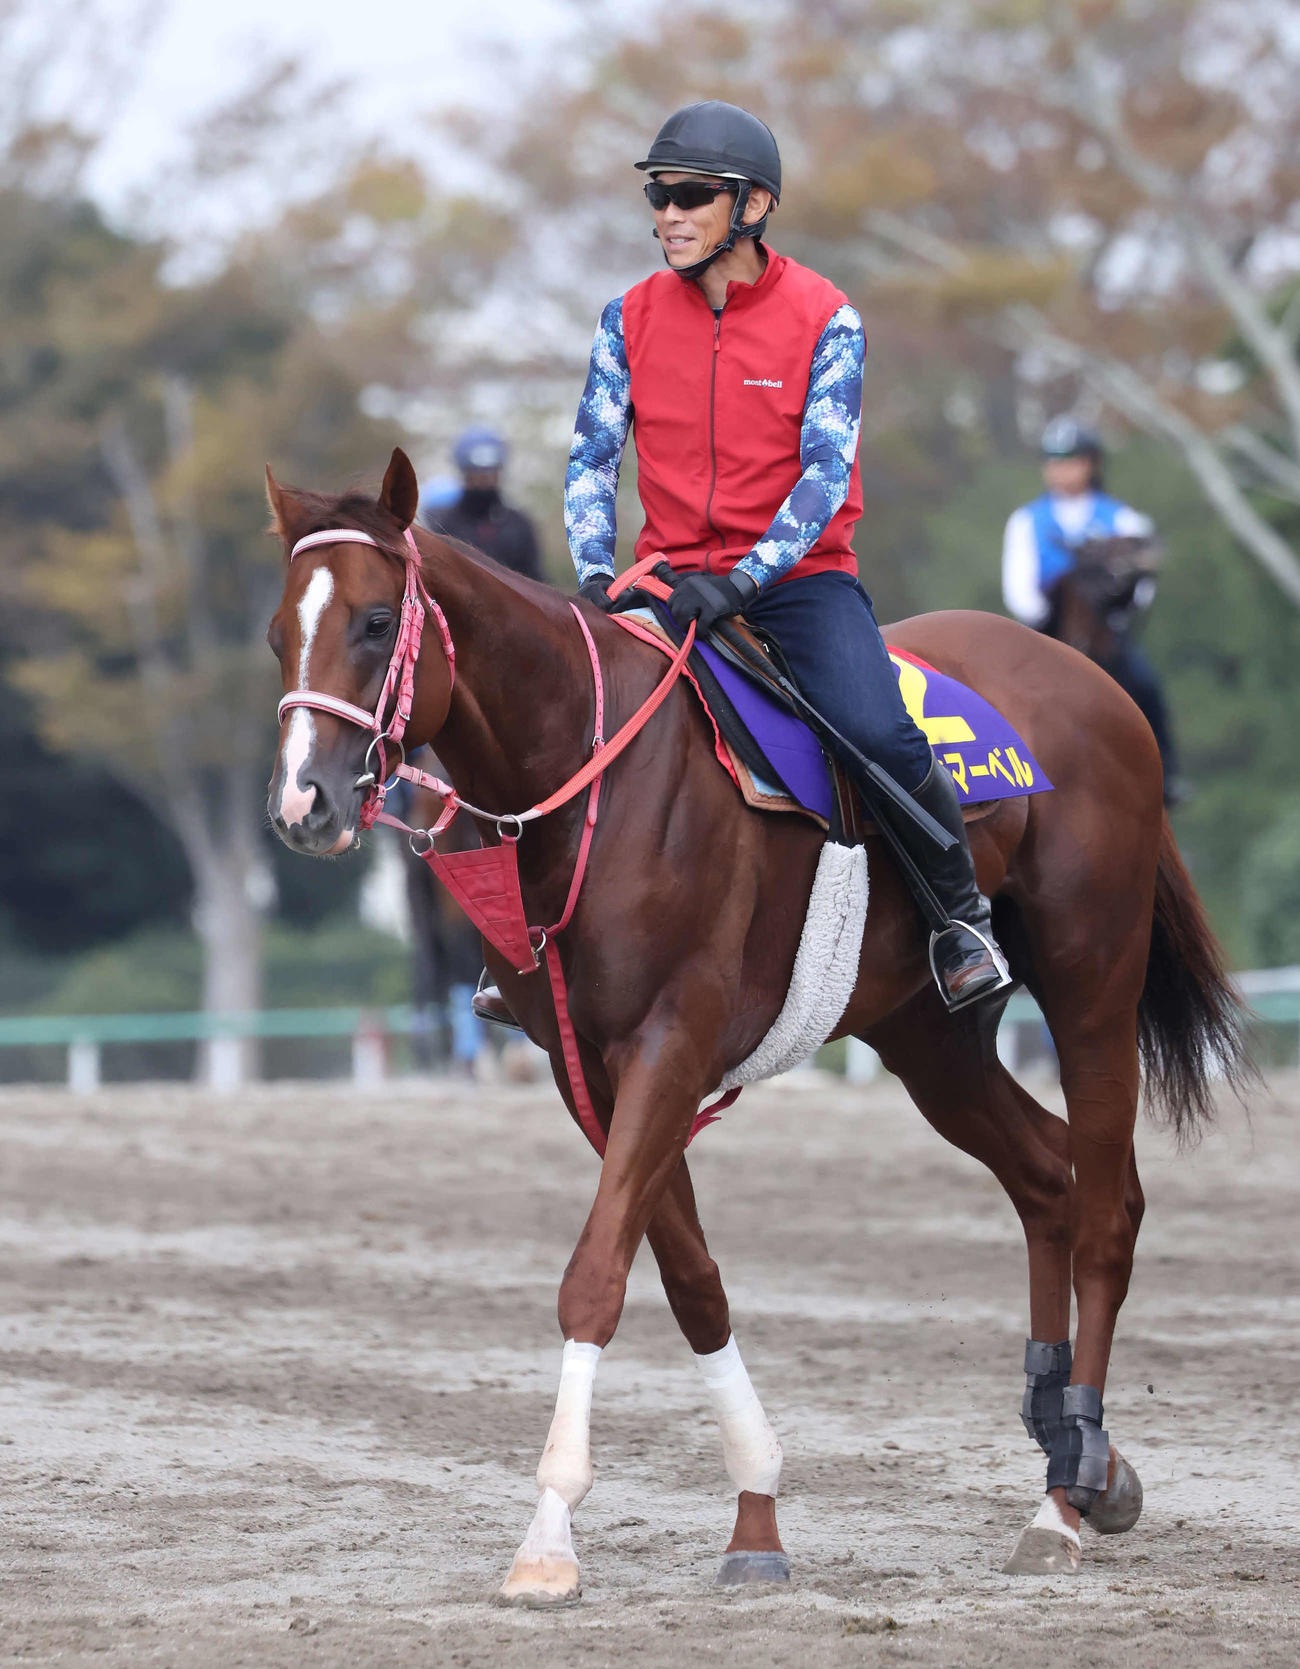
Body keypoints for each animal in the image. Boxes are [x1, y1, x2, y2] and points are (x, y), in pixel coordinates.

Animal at [264, 448, 1247, 1601]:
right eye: (279, 633)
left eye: (378, 622)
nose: (305, 804)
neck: (593, 778)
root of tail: (1094, 685)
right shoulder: (589, 1066)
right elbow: (689, 1280)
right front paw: (754, 1512)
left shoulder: (671, 1040)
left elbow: (595, 1275)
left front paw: (548, 1535)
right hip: (927, 1036)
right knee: (1047, 1176)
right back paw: (1074, 1450)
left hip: (1093, 976)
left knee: (1105, 1207)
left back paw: (1065, 1489)